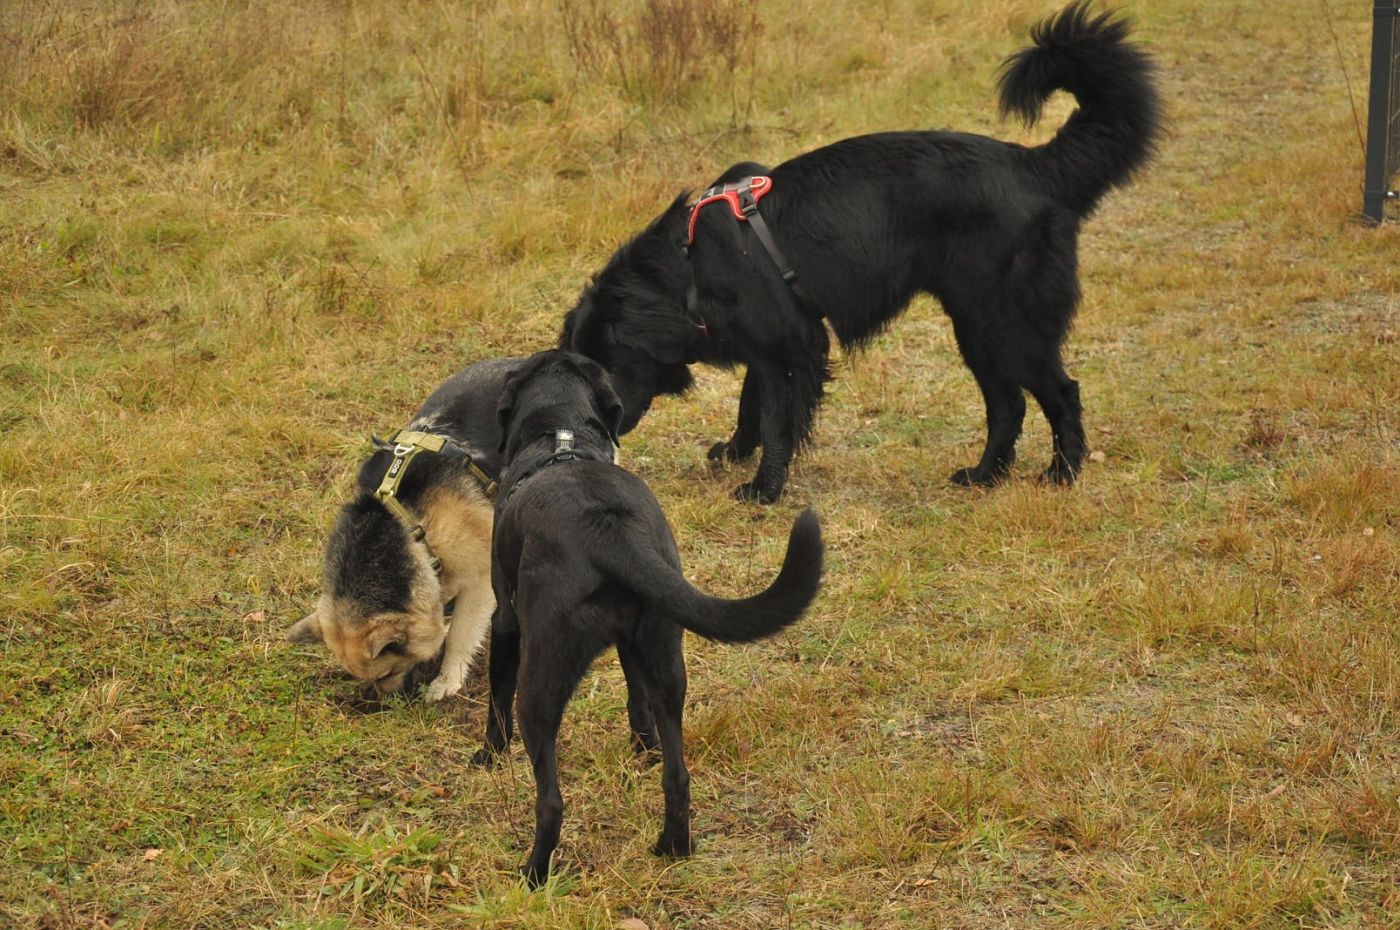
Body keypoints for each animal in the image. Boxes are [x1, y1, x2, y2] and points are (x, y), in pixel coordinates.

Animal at [287, 358, 520, 702]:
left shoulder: (480, 579)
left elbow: (461, 633)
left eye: (387, 672)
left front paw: (447, 678)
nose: (389, 704)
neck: (409, 530)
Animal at [475, 350, 823, 885]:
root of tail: (608, 528)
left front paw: (488, 755)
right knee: (678, 775)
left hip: (540, 680)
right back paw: (672, 847)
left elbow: (495, 700)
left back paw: (533, 874)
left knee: (551, 800)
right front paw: (644, 748)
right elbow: (636, 703)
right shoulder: (632, 645)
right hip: (666, 661)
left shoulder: (505, 621)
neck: (562, 437)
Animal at [561, 2, 1161, 502]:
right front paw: (735, 452)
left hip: (1007, 321)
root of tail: (1033, 166)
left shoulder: (792, 348)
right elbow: (751, 404)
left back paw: (1062, 472)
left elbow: (777, 421)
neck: (690, 264)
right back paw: (984, 475)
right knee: (1008, 403)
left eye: (609, 366)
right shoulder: (769, 344)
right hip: (976, 325)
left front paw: (764, 488)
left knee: (1060, 391)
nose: (607, 433)